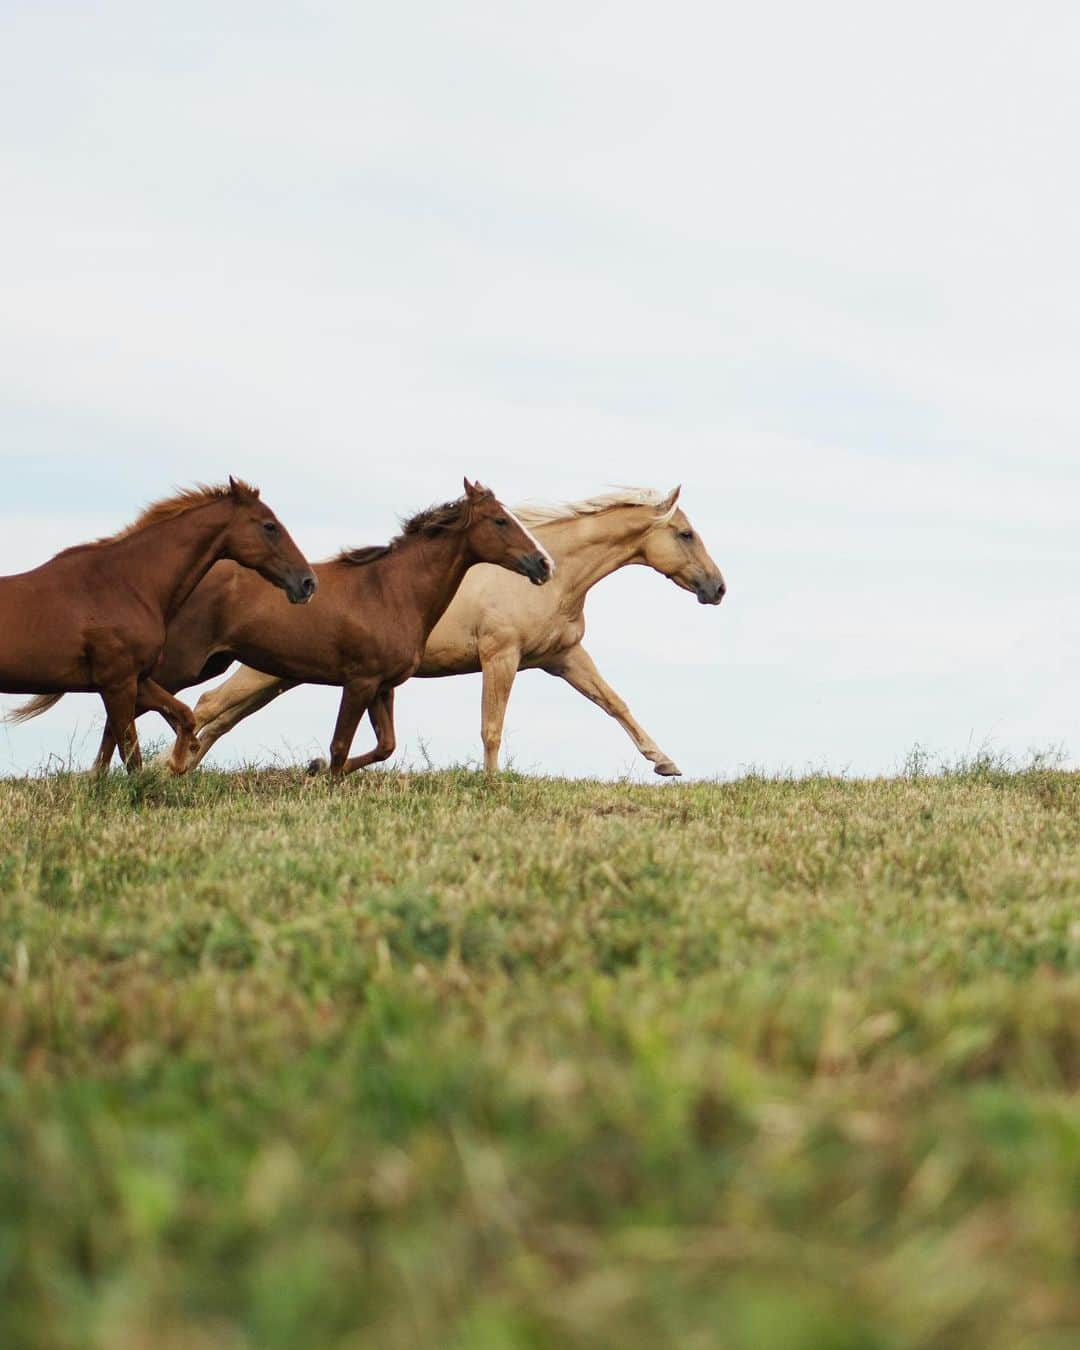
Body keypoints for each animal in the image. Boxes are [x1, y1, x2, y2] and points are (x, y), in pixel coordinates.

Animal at [3, 475, 315, 772]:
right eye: (270, 526)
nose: (307, 582)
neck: (125, 585)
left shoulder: (137, 680)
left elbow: (183, 715)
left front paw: (179, 761)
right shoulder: (118, 684)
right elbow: (131, 755)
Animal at [56, 480, 553, 777]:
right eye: (500, 520)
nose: (543, 564)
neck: (391, 590)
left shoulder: (383, 686)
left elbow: (385, 746)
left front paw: (314, 770)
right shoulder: (359, 681)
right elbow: (339, 745)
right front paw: (321, 778)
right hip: (179, 665)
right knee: (125, 707)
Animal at [186, 491, 723, 777]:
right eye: (685, 534)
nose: (717, 588)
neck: (554, 575)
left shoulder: (564, 657)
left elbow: (615, 703)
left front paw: (665, 764)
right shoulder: (501, 655)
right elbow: (492, 725)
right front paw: (492, 783)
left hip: (281, 677)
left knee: (221, 719)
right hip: (266, 674)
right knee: (209, 706)